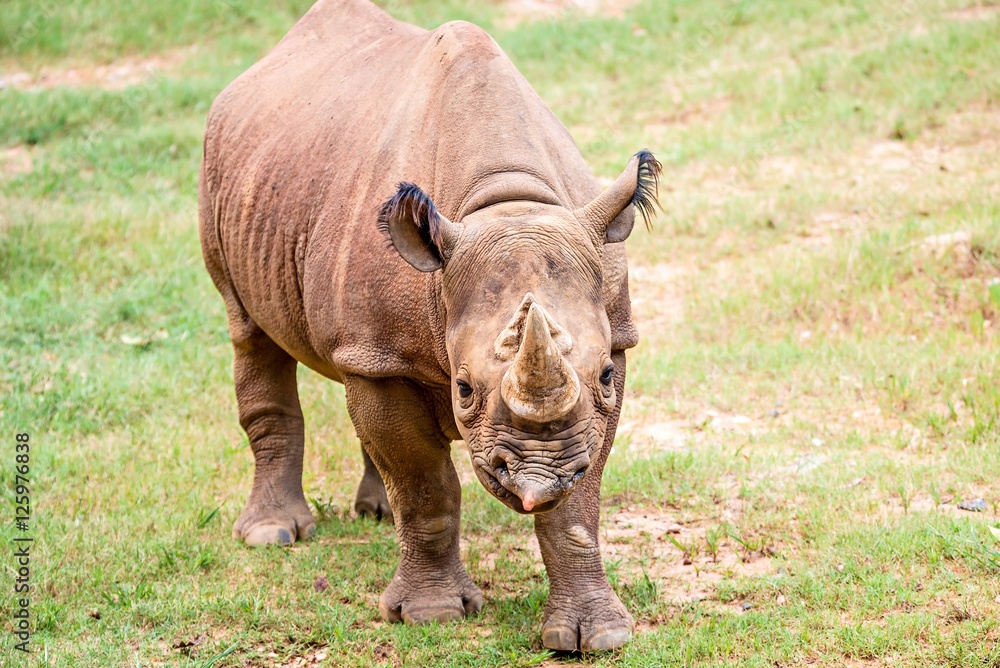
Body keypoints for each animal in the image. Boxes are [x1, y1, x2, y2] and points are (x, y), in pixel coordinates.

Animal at [198, 0, 660, 652]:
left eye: (601, 378)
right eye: (463, 388)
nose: (536, 479)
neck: (507, 203)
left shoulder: (613, 343)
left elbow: (579, 501)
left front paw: (598, 636)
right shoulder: (387, 352)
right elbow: (424, 483)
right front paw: (433, 614)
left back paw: (375, 515)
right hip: (224, 180)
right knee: (252, 333)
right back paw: (273, 535)